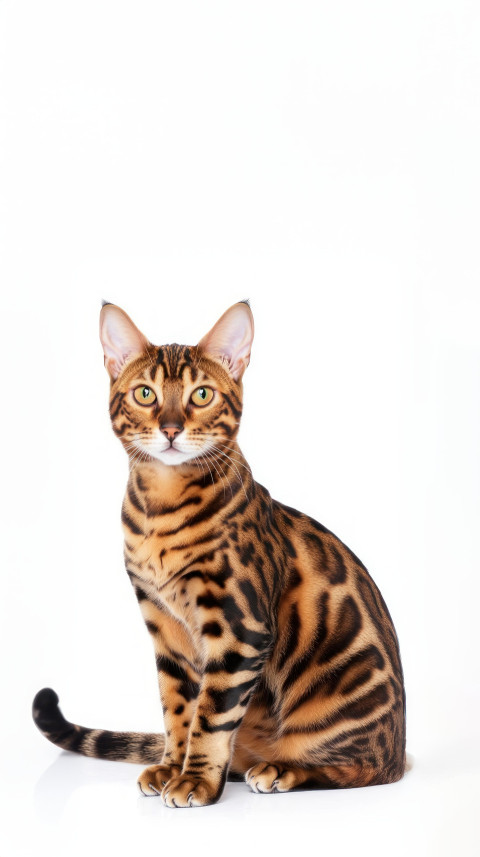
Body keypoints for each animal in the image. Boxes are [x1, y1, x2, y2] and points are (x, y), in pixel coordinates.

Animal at [33, 300, 406, 804]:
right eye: (145, 394)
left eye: (202, 394)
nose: (171, 428)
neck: (160, 510)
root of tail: (400, 746)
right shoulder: (165, 627)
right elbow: (178, 710)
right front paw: (172, 767)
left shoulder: (238, 628)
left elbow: (210, 716)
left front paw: (195, 779)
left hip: (344, 717)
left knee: (362, 769)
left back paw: (282, 769)